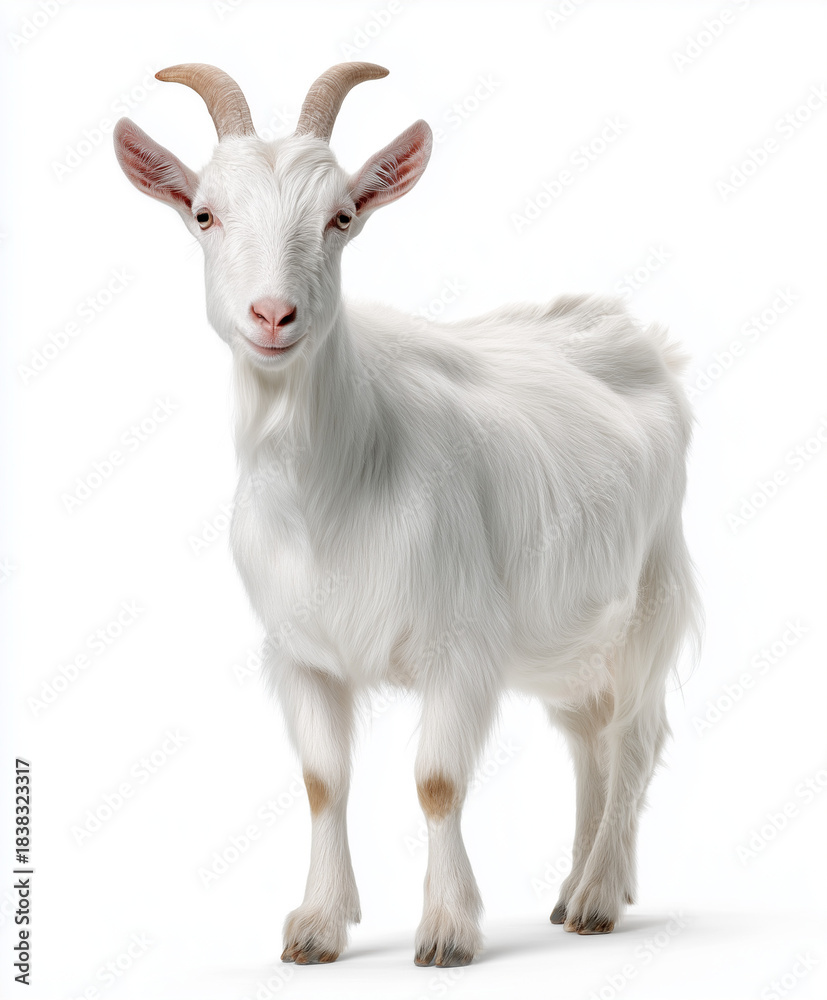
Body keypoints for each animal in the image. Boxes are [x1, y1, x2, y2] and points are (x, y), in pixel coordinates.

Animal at [114, 61, 701, 968]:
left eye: (340, 216)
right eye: (204, 213)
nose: (272, 316)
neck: (335, 485)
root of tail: (639, 340)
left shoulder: (460, 644)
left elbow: (436, 782)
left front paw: (448, 932)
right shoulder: (302, 654)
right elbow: (322, 782)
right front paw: (317, 926)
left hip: (650, 595)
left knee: (634, 737)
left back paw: (600, 896)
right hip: (566, 637)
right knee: (587, 740)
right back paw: (573, 889)